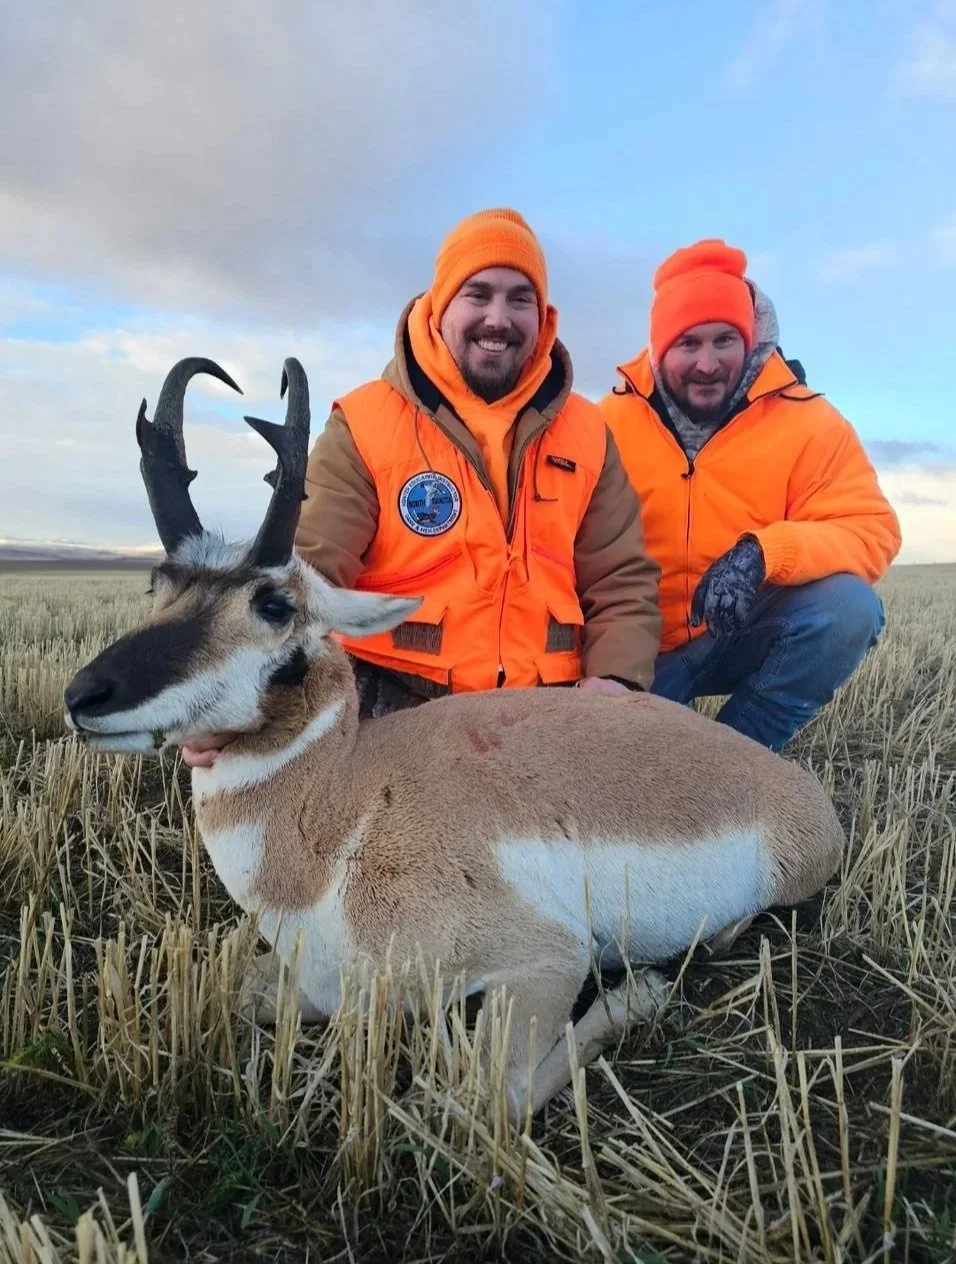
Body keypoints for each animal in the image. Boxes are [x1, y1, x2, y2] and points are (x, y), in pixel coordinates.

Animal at [63, 357, 846, 1120]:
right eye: (158, 584)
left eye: (274, 603)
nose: (83, 696)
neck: (345, 814)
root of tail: (790, 782)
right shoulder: (308, 982)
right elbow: (214, 985)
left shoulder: (544, 961)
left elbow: (486, 1095)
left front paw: (640, 994)